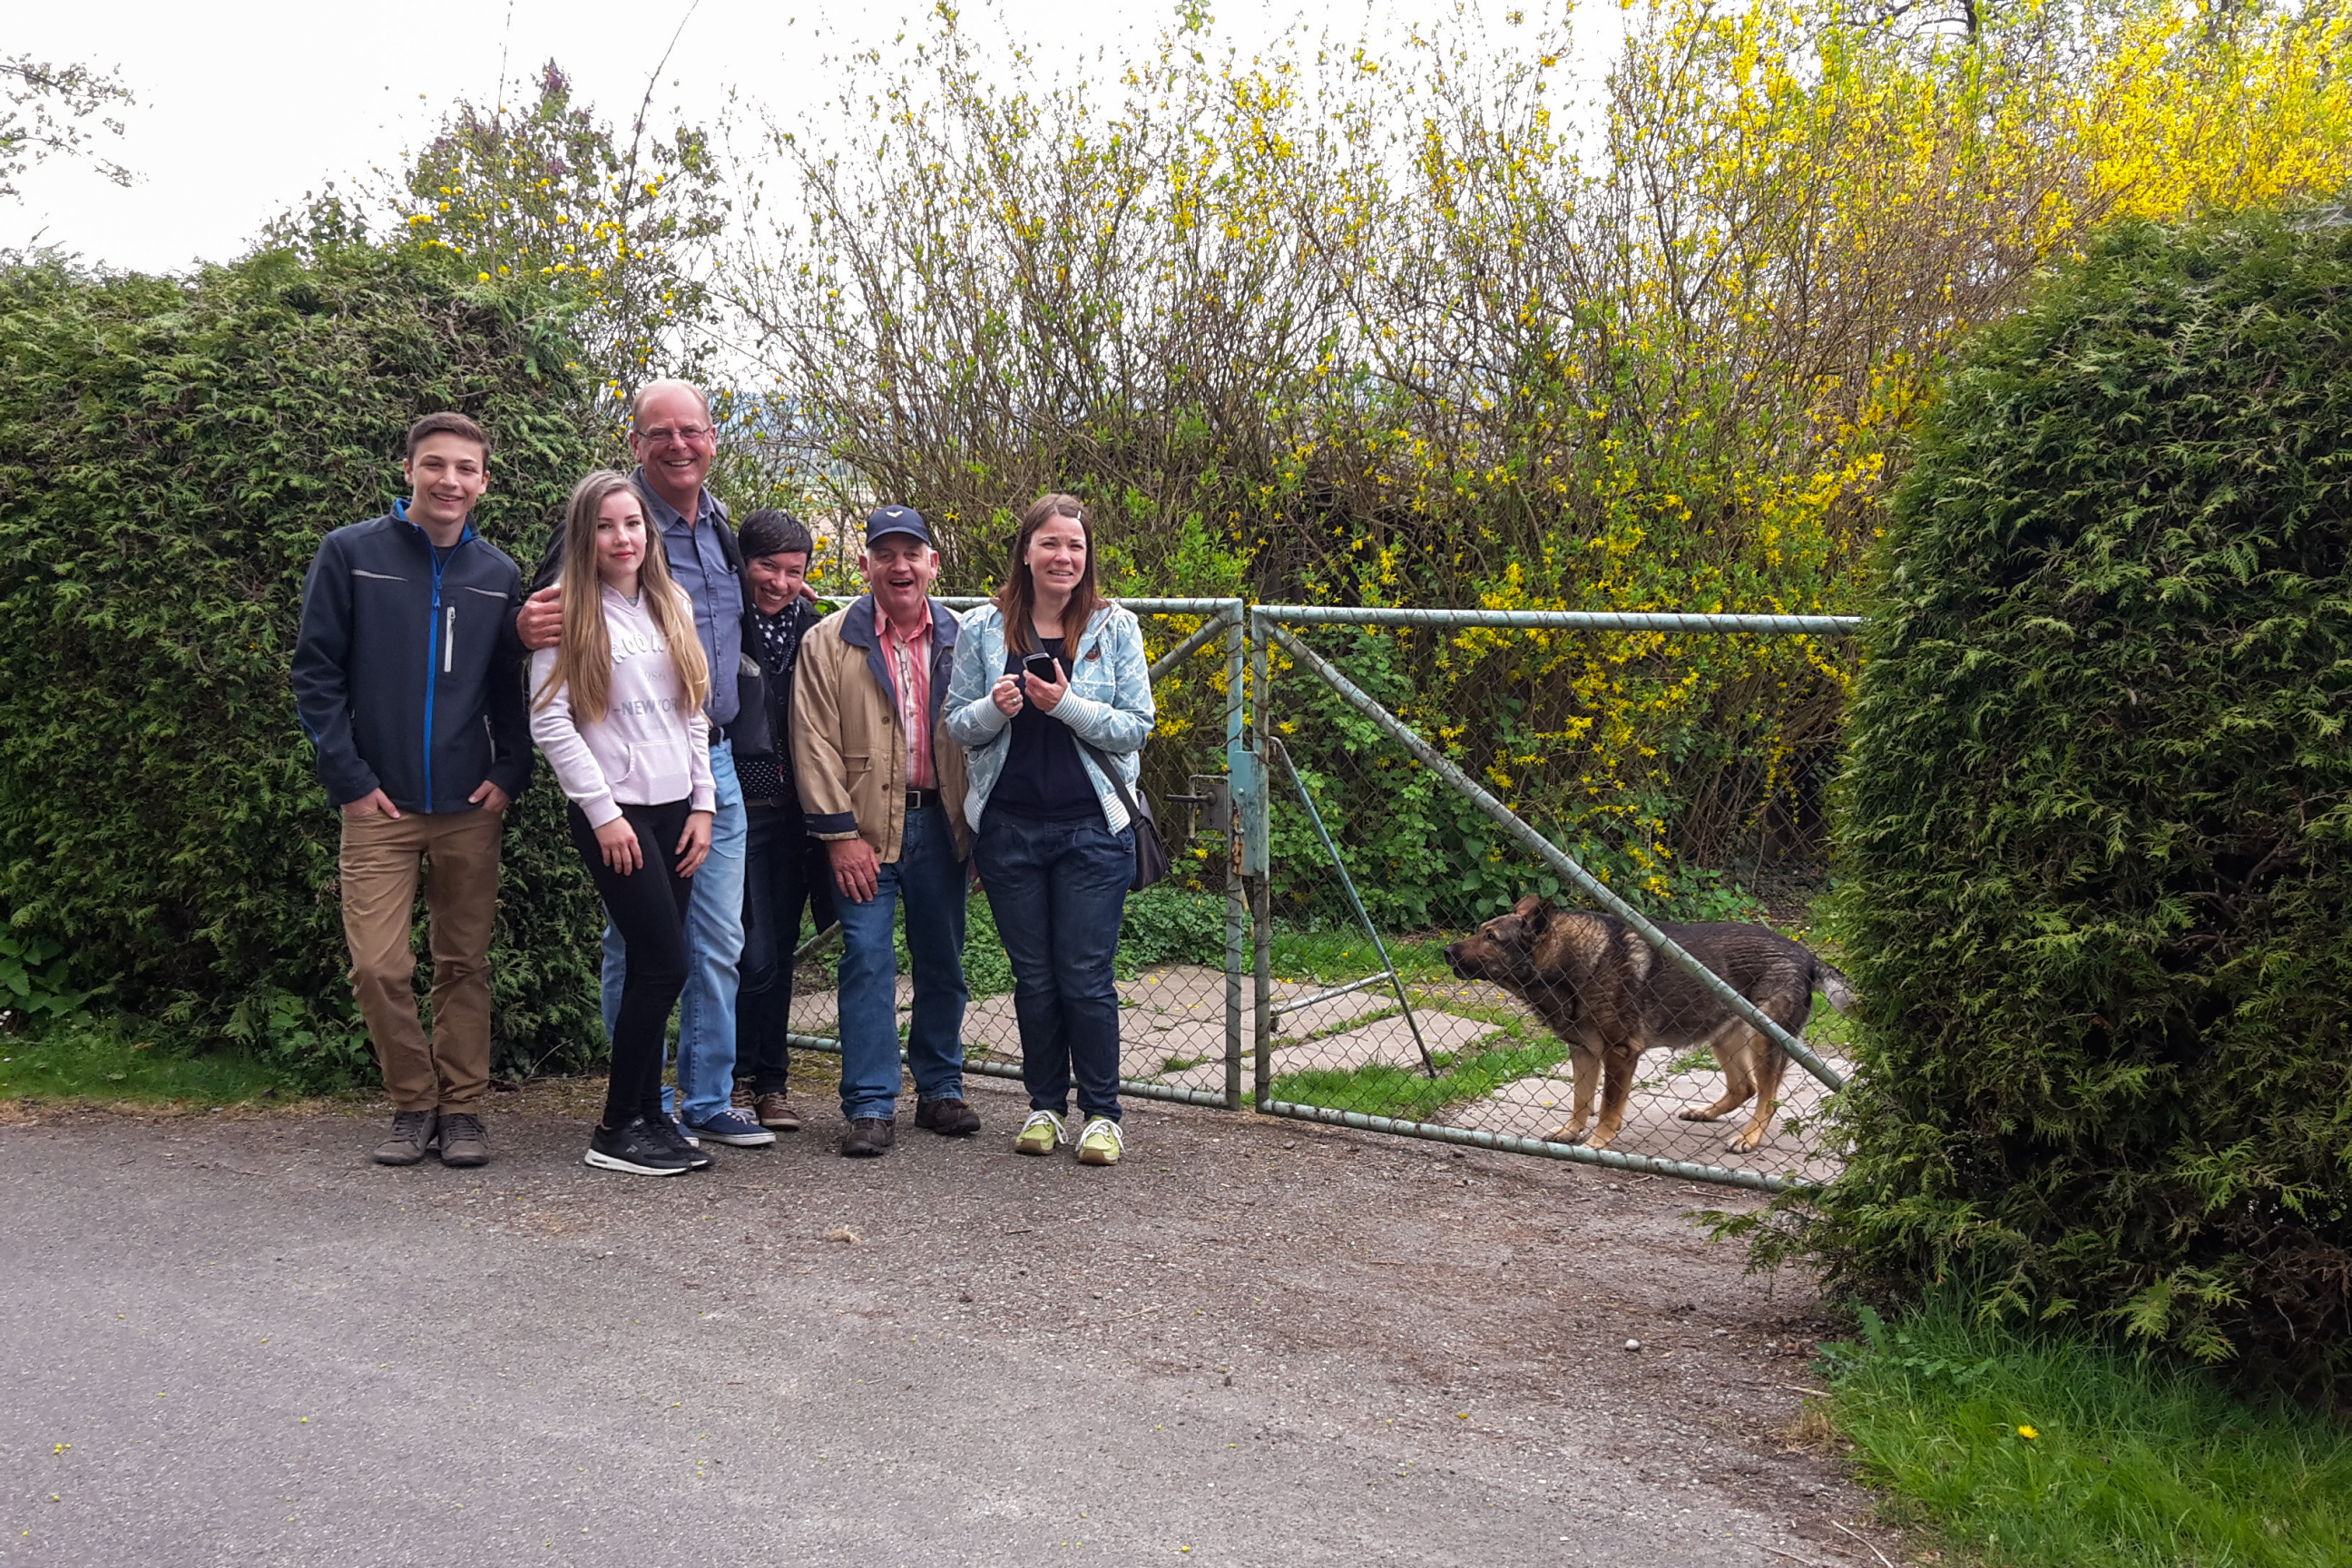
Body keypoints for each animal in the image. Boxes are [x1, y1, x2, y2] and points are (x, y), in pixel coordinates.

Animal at [1443, 895, 1854, 1154]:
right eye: (1481, 930)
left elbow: (1607, 1106)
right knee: (1745, 1088)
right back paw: (1706, 1112)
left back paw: (1749, 1138)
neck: (1569, 962)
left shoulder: (1620, 1053)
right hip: (1722, 1037)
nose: (1445, 951)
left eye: (1491, 937)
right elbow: (1580, 1101)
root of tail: (1806, 954)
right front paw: (1571, 1132)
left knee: (1767, 1098)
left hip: (1764, 1042)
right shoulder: (1583, 1052)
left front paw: (1598, 1143)